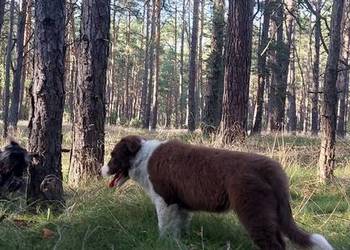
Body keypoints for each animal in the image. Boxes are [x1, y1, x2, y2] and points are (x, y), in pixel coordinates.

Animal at [102, 136, 334, 250]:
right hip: (271, 213)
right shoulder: (181, 205)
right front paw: (180, 243)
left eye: (113, 155)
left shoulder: (165, 200)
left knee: (272, 244)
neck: (143, 157)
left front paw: (162, 242)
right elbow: (179, 227)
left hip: (253, 210)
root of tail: (273, 169)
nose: (101, 170)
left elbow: (164, 227)